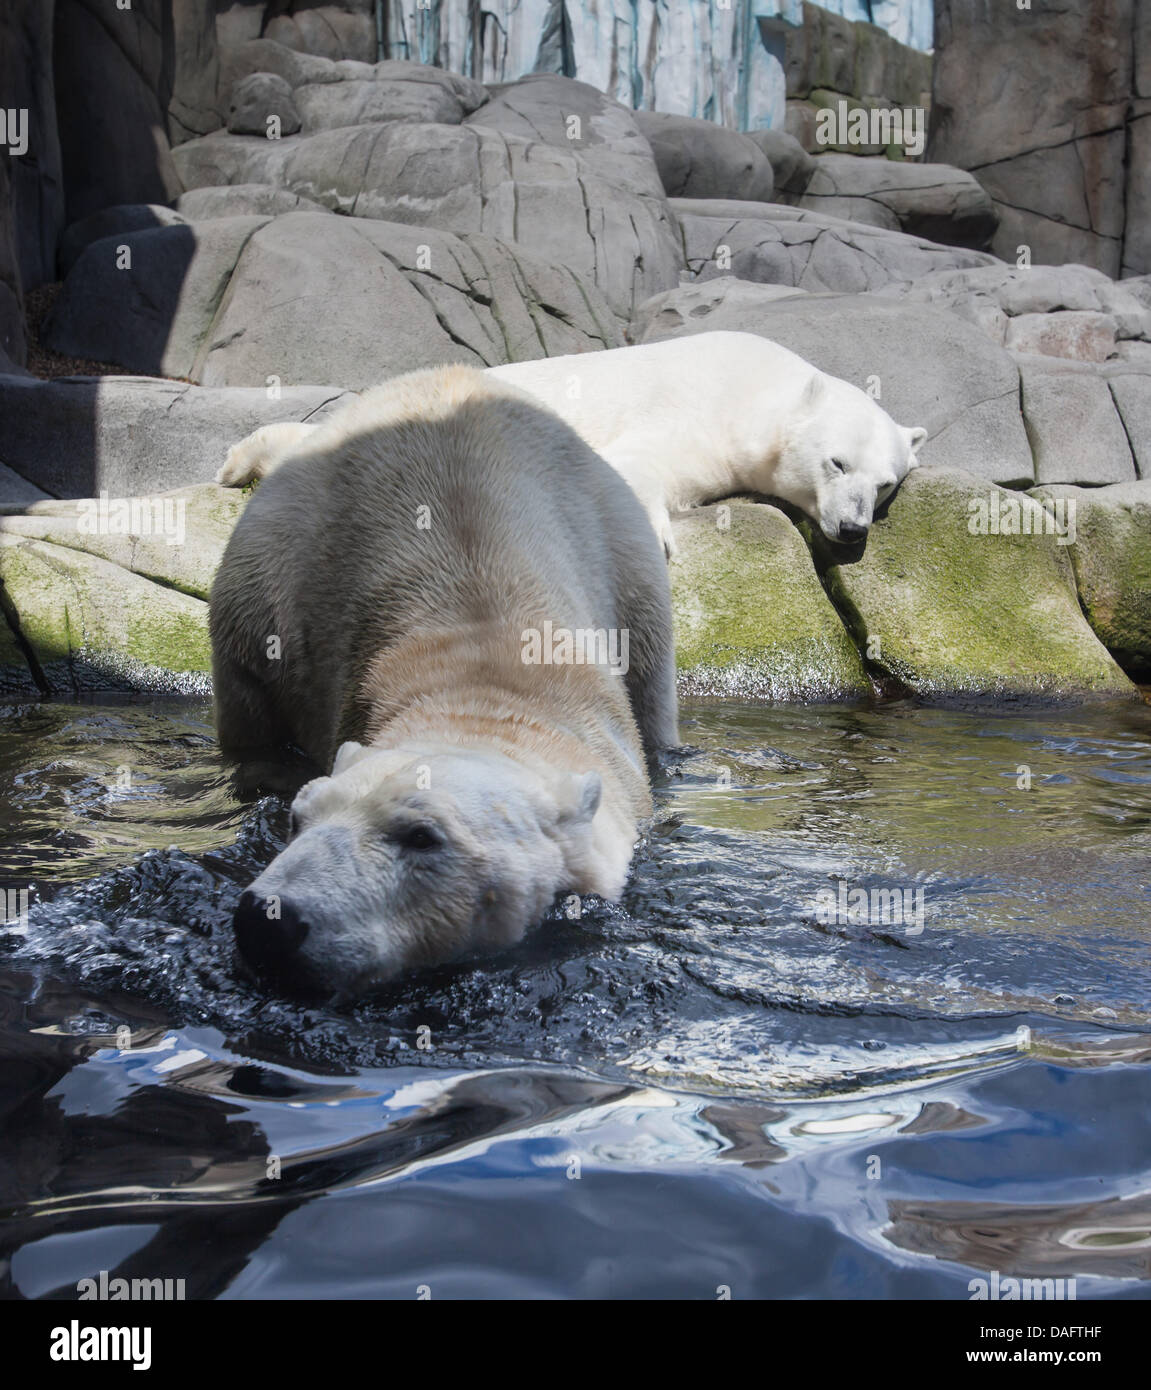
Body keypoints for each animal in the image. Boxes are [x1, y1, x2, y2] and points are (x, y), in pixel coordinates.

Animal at [210, 365, 677, 998]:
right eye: (297, 819)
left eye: (421, 836)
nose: (268, 921)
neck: (484, 693)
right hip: (266, 572)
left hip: (628, 553)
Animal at [216, 332, 928, 556]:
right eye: (837, 461)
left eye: (885, 482)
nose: (852, 529)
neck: (757, 387)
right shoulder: (696, 410)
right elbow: (636, 462)